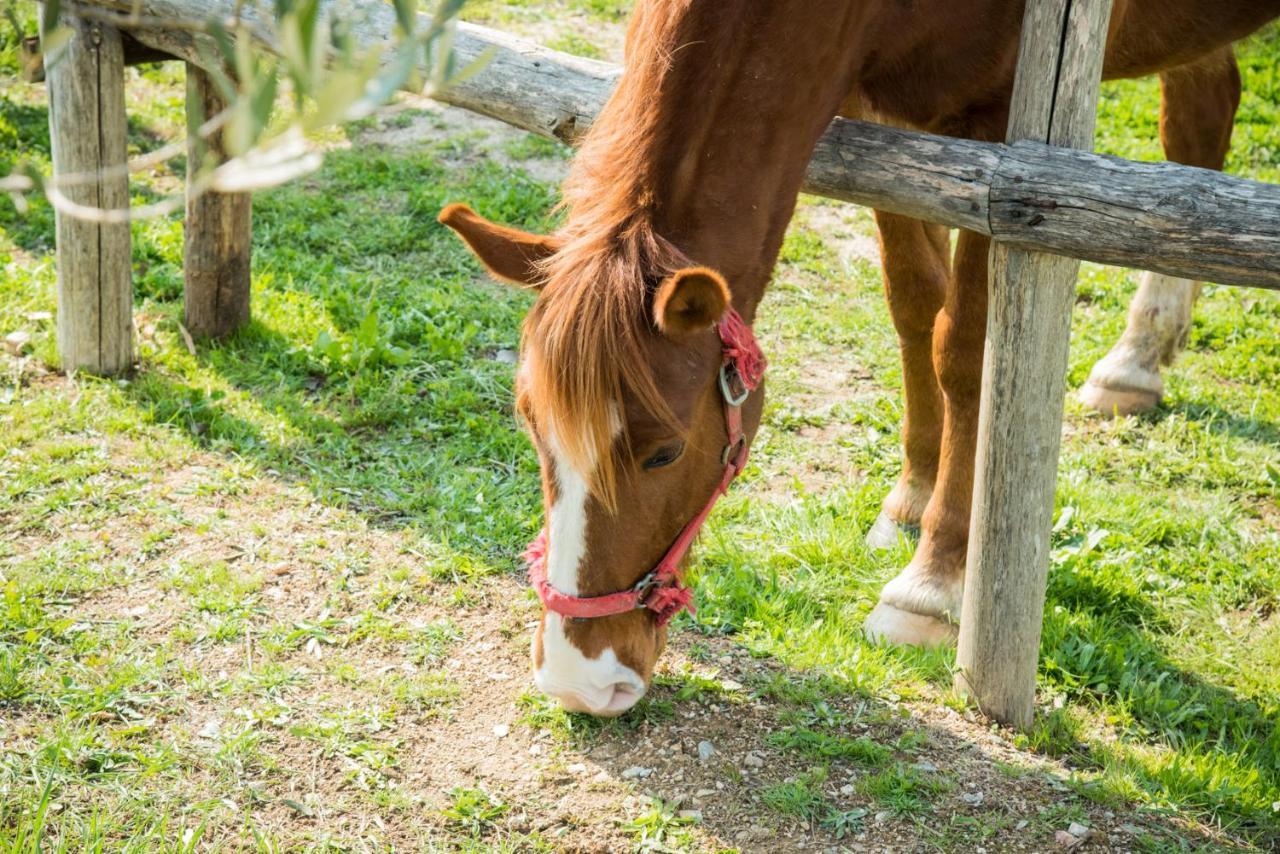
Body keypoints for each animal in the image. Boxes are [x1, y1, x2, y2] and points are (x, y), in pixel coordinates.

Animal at [442, 0, 1280, 717]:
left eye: (663, 454)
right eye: (534, 432)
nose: (577, 680)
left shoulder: (1004, 157)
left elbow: (963, 349)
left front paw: (933, 582)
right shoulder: (875, 110)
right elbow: (911, 305)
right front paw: (911, 495)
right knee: (1204, 116)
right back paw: (1138, 358)